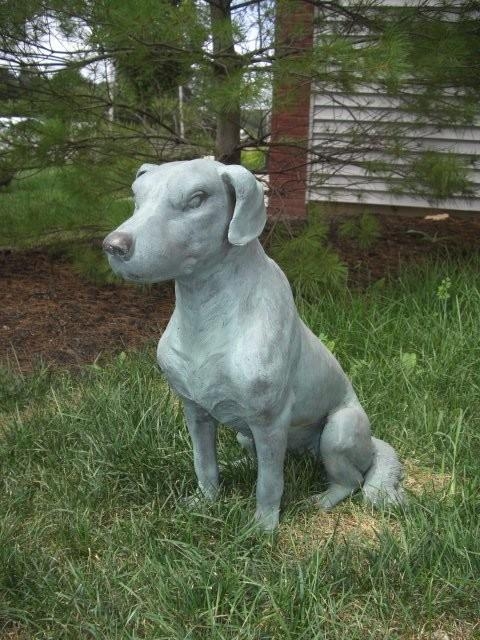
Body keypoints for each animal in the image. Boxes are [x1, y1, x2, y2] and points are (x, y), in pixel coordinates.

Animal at [104, 159, 404, 528]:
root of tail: (374, 444)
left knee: (349, 480)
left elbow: (269, 483)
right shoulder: (196, 412)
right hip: (244, 434)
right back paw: (237, 466)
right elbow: (204, 464)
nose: (113, 245)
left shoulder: (269, 421)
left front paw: (262, 527)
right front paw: (205, 502)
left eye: (197, 199)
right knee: (260, 461)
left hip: (338, 432)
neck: (205, 315)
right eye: (136, 197)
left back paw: (320, 500)